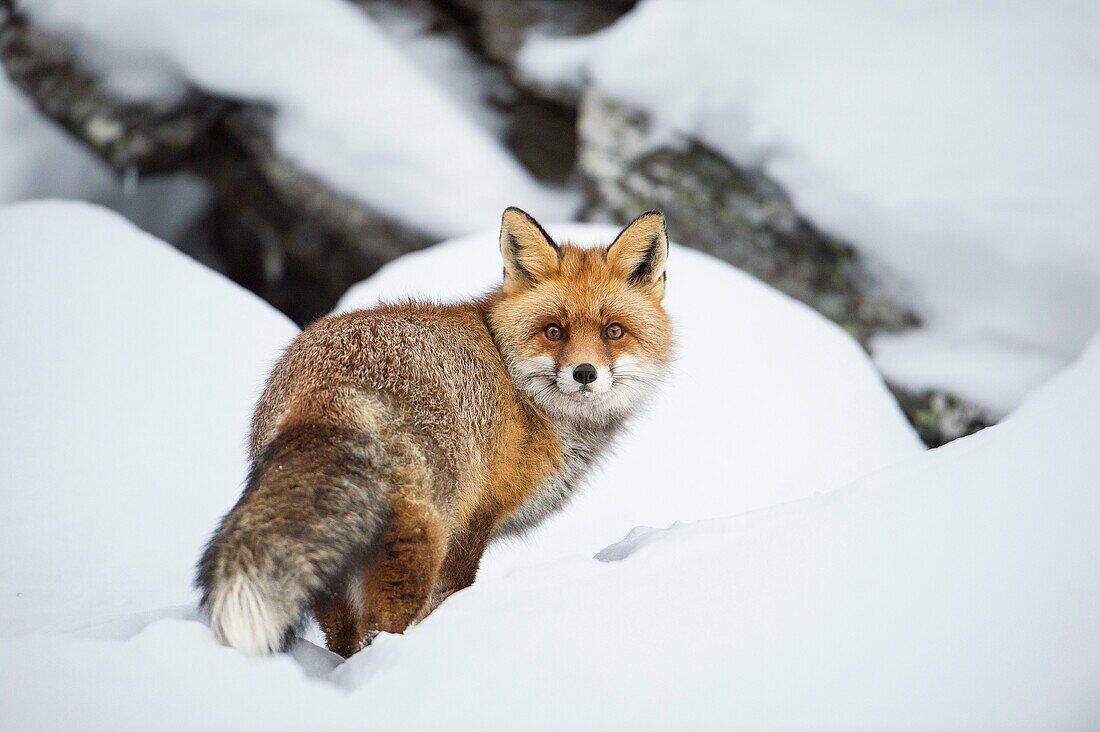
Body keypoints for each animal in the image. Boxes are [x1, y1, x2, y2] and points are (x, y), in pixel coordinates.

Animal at [199, 205, 673, 656]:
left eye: (614, 331)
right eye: (553, 331)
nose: (584, 374)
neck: (521, 392)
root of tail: (324, 387)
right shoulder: (474, 523)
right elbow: (454, 592)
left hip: (333, 559)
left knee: (344, 639)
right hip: (420, 542)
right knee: (383, 626)